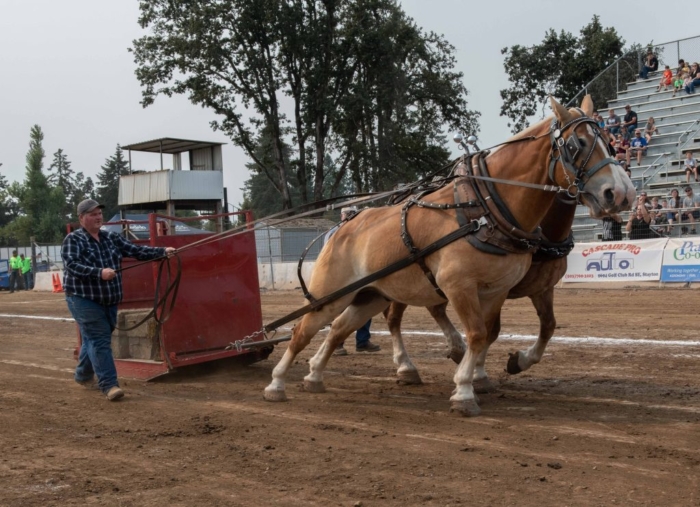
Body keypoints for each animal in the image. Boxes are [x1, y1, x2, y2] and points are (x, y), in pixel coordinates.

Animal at [262, 96, 636, 416]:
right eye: (577, 145)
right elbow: (476, 334)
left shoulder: (498, 290)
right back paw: (278, 383)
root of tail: (343, 226)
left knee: (339, 328)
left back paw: (314, 375)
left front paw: (482, 376)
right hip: (331, 294)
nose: (621, 193)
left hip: (370, 294)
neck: (485, 207)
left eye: (609, 139)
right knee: (303, 330)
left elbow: (496, 332)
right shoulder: (458, 285)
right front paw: (464, 391)